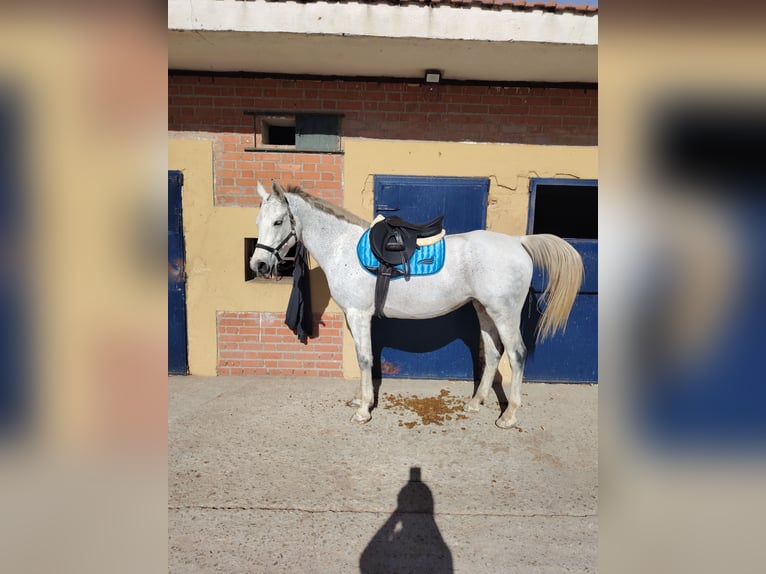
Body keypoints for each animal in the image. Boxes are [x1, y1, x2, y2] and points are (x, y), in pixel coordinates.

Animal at [250, 180, 583, 428]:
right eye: (258, 221)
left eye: (278, 221)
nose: (259, 265)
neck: (341, 247)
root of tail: (518, 242)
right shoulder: (354, 317)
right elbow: (362, 357)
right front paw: (361, 399)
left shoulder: (359, 315)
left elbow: (364, 359)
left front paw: (363, 410)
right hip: (485, 311)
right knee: (492, 353)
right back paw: (476, 403)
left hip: (505, 314)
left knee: (516, 355)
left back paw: (509, 416)